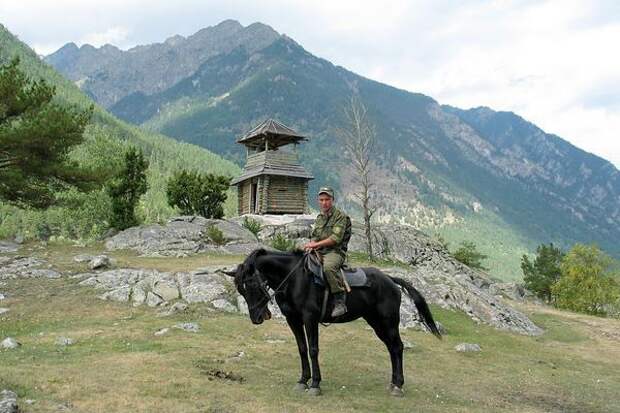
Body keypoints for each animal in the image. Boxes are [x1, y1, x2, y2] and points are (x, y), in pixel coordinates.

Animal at [223, 248, 440, 396]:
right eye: (241, 290)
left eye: (252, 284)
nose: (256, 318)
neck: (294, 279)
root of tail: (390, 279)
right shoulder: (293, 320)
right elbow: (302, 348)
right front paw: (303, 380)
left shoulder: (309, 318)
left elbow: (313, 350)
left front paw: (315, 384)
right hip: (377, 323)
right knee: (392, 348)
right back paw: (394, 383)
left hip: (389, 322)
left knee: (398, 347)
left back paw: (399, 385)